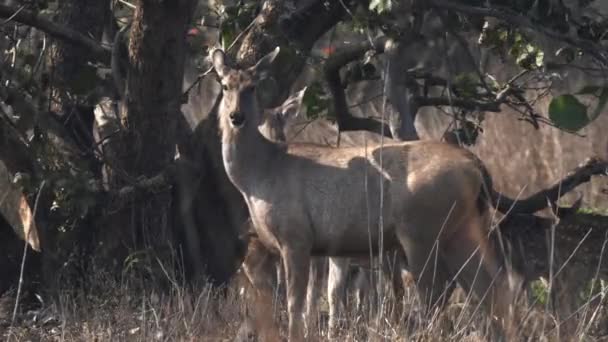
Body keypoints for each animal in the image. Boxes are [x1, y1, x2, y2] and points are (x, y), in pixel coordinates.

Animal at [213, 46, 524, 340]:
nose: (236, 117)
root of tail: (476, 166)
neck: (261, 174)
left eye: (252, 87)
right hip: (461, 228)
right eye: (225, 85)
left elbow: (294, 303)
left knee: (436, 291)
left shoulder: (296, 236)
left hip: (421, 231)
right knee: (489, 287)